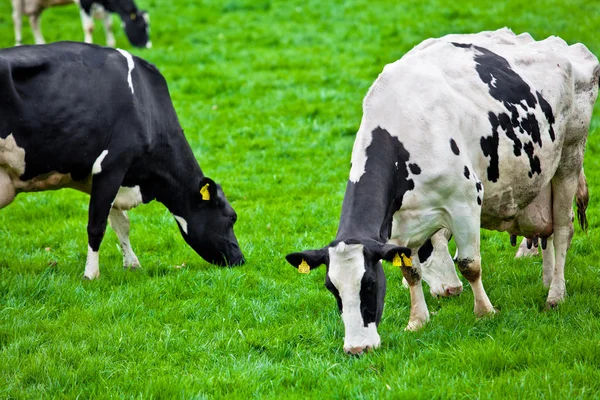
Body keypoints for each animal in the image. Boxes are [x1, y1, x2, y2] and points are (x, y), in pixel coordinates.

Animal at [0, 40, 244, 278]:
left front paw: (132, 265)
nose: (240, 259)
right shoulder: (111, 166)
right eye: (232, 217)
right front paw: (91, 275)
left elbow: (121, 223)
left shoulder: (113, 177)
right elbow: (96, 225)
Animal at [11, 0, 150, 48]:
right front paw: (88, 43)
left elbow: (109, 25)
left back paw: (40, 43)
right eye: (141, 26)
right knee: (17, 18)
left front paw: (111, 44)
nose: (148, 46)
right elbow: (89, 27)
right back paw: (18, 44)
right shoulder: (84, 3)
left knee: (34, 20)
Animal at [286, 27, 600, 354]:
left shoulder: (465, 200)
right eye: (331, 287)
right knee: (546, 232)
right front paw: (417, 320)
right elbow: (410, 270)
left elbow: (469, 264)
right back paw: (547, 280)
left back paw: (556, 294)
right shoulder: (397, 222)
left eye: (370, 283)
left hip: (570, 155)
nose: (358, 348)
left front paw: (485, 312)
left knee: (562, 229)